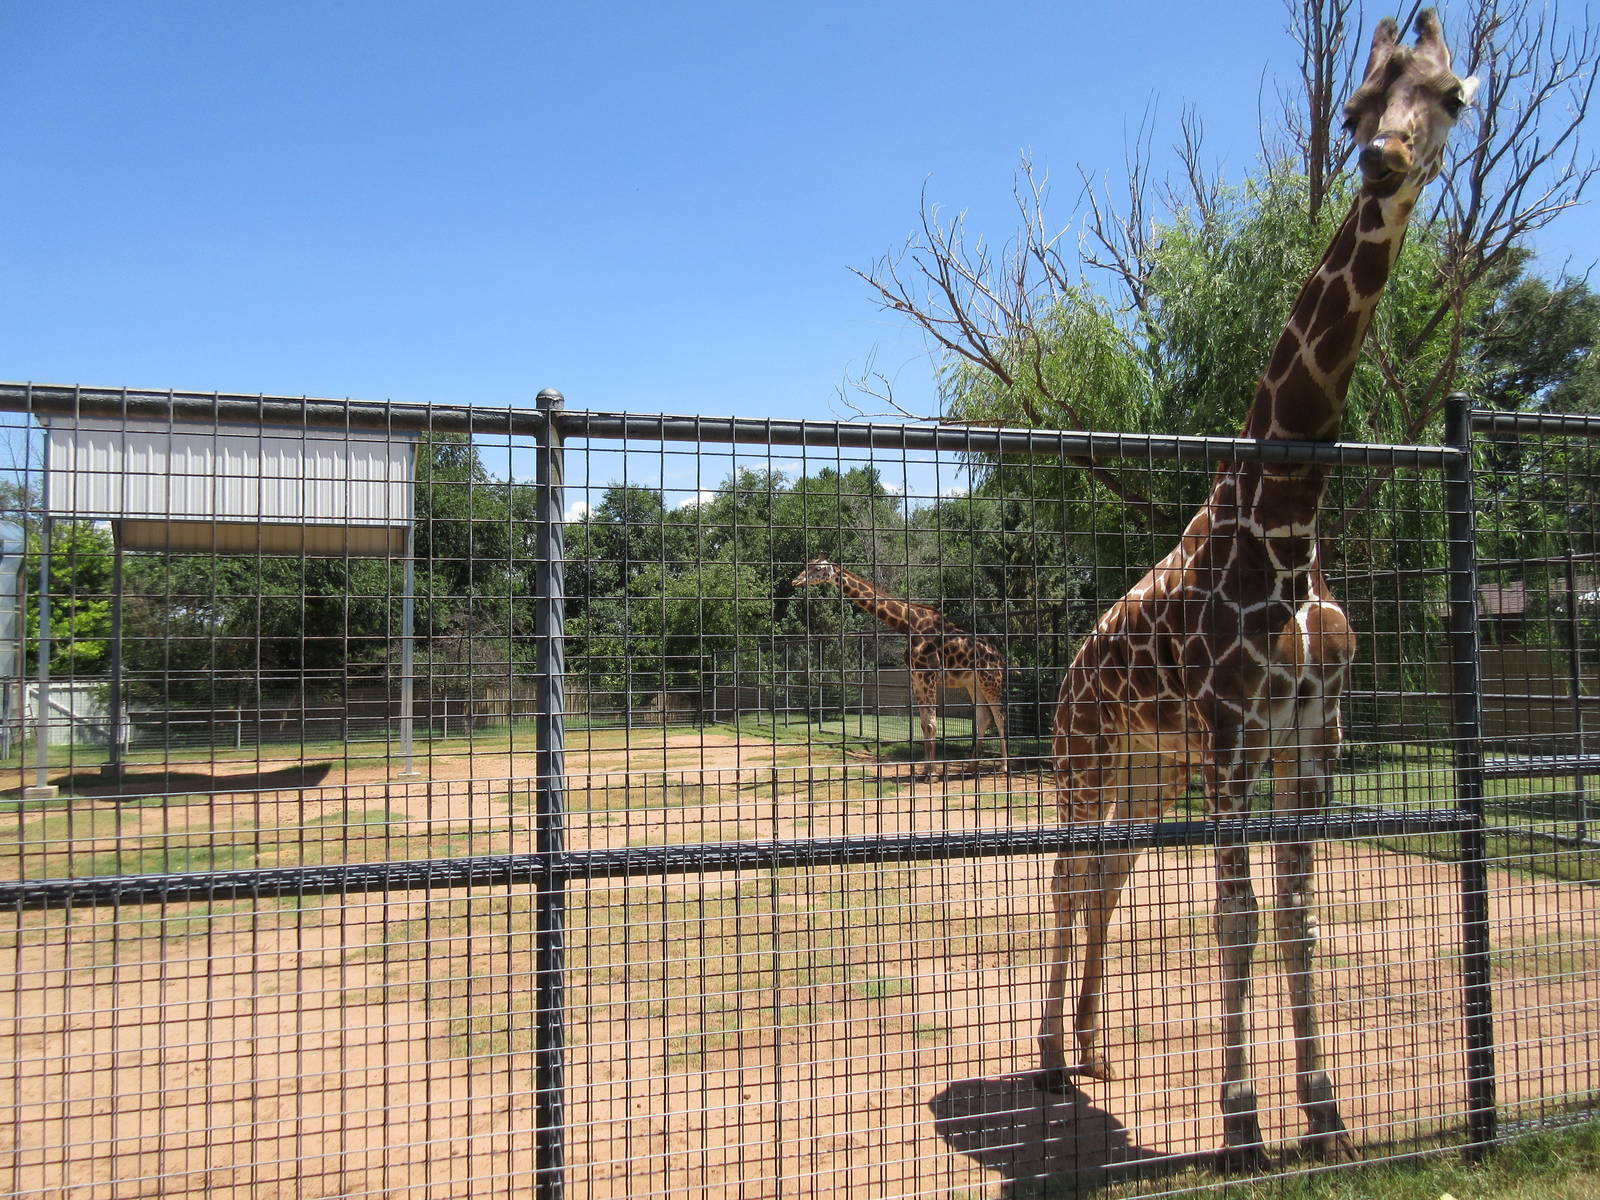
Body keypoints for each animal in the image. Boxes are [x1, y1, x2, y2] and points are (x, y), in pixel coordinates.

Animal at [792, 559, 1008, 774]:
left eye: (818, 568)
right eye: (808, 565)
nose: (796, 580)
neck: (909, 625)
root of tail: (999, 655)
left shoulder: (928, 675)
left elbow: (932, 724)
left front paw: (932, 774)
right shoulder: (916, 677)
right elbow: (924, 724)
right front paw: (925, 771)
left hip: (991, 680)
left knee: (1000, 717)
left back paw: (1004, 766)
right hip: (973, 683)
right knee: (984, 718)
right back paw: (972, 766)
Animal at [1035, 11, 1478, 1165]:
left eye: (1452, 94)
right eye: (1358, 104)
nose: (1383, 158)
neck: (1286, 521)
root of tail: (1071, 661)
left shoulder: (1315, 732)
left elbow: (1295, 914)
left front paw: (1325, 1116)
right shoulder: (1236, 735)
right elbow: (1234, 918)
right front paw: (1240, 1127)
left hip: (1150, 771)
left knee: (1109, 879)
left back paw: (1097, 1049)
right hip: (1084, 754)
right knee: (1065, 876)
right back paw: (1049, 1057)